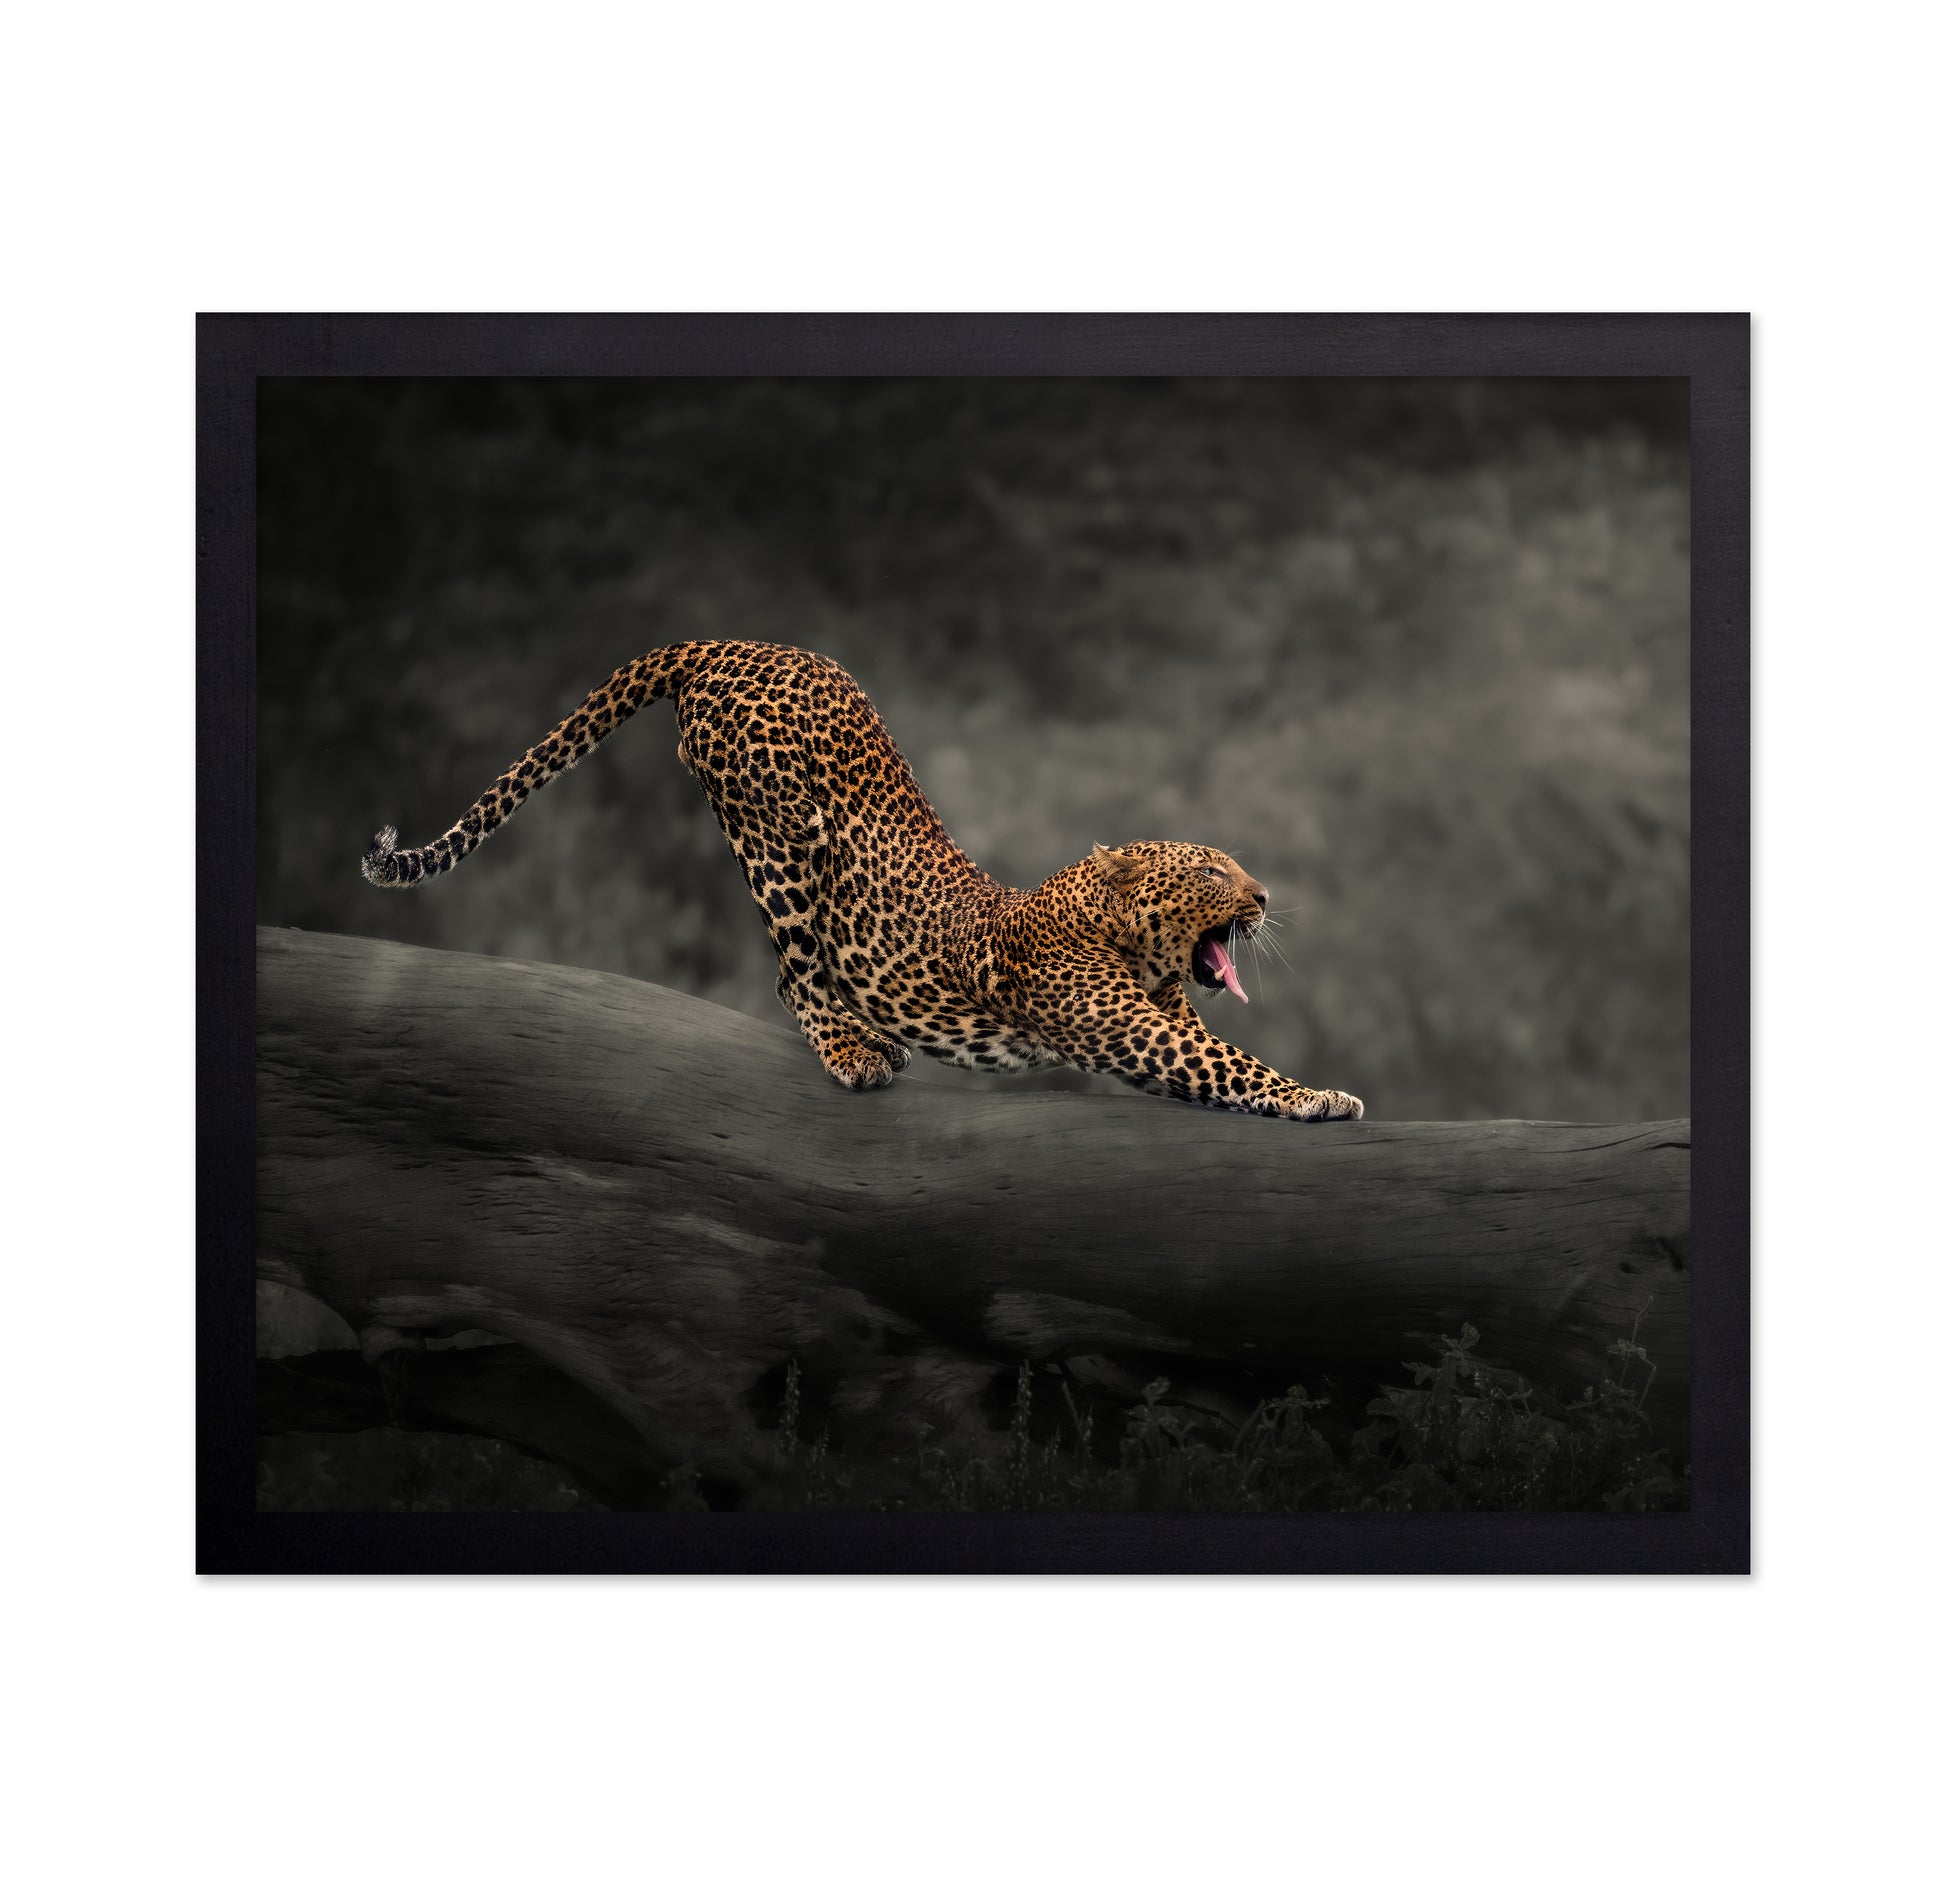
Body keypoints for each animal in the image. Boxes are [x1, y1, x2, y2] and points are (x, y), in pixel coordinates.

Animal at [361, 640, 1363, 1121]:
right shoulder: (1134, 1028)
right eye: (1211, 869)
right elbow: (1228, 1064)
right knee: (793, 971)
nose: (1263, 896)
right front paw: (1321, 1097)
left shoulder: (1165, 1012)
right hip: (777, 841)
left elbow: (1218, 1052)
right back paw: (856, 1049)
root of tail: (726, 642)